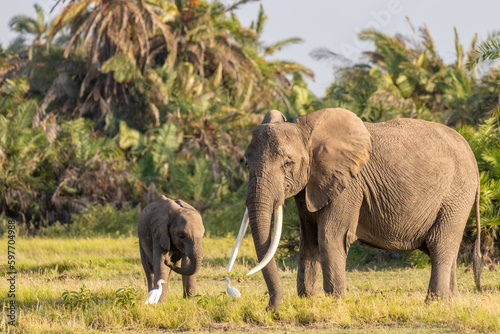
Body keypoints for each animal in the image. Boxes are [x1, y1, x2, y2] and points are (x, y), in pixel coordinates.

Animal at [229, 107, 482, 310]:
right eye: (246, 163)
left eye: (287, 163)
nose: (270, 308)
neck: (307, 134)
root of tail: (473, 157)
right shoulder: (311, 185)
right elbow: (309, 239)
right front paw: (307, 302)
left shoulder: (348, 185)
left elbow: (329, 236)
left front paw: (335, 303)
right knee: (439, 247)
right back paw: (452, 302)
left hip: (456, 195)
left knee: (440, 244)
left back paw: (435, 303)